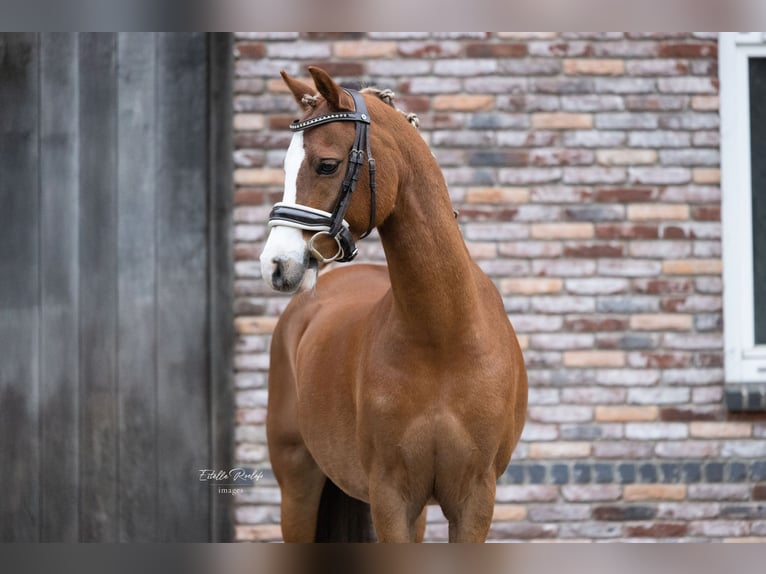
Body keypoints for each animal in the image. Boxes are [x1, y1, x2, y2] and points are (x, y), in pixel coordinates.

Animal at [260, 68, 528, 544]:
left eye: (326, 164)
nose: (276, 264)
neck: (442, 336)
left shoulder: (474, 499)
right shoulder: (390, 496)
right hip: (297, 484)